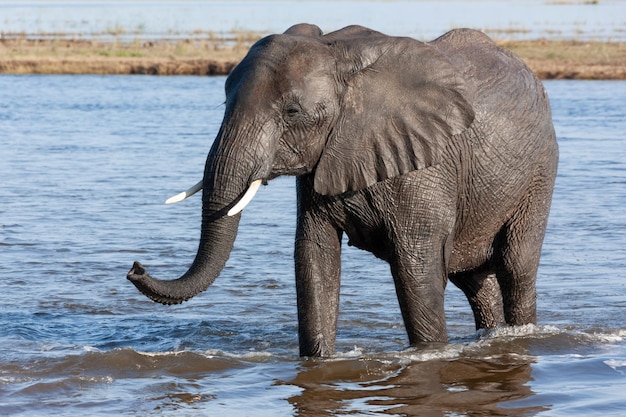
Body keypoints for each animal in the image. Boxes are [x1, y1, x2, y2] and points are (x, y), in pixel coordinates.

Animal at [127, 22, 556, 356]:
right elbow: (314, 258)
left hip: (539, 173)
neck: (342, 60)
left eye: (292, 113)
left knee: (515, 264)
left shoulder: (426, 166)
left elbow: (416, 270)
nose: (135, 266)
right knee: (472, 279)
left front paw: (430, 356)